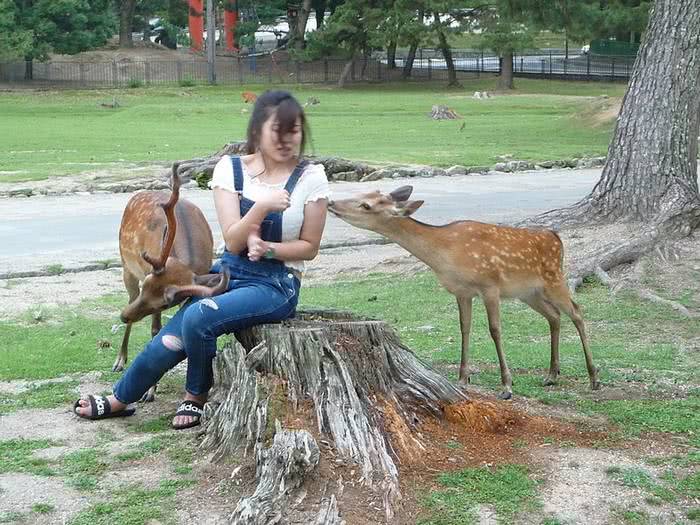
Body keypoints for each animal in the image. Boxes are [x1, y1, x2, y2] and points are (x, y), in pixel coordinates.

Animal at [116, 164, 228, 402]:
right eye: (148, 281)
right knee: (130, 296)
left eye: (164, 303)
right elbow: (155, 330)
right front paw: (149, 391)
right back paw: (120, 360)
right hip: (126, 266)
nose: (124, 316)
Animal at [326, 184, 600, 398]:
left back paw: (593, 377)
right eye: (366, 193)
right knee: (554, 316)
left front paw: (506, 385)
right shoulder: (461, 291)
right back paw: (552, 375)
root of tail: (556, 238)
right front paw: (462, 378)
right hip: (528, 292)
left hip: (554, 279)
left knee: (577, 312)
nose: (330, 202)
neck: (446, 254)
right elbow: (464, 328)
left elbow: (495, 330)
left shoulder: (490, 285)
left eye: (366, 205)